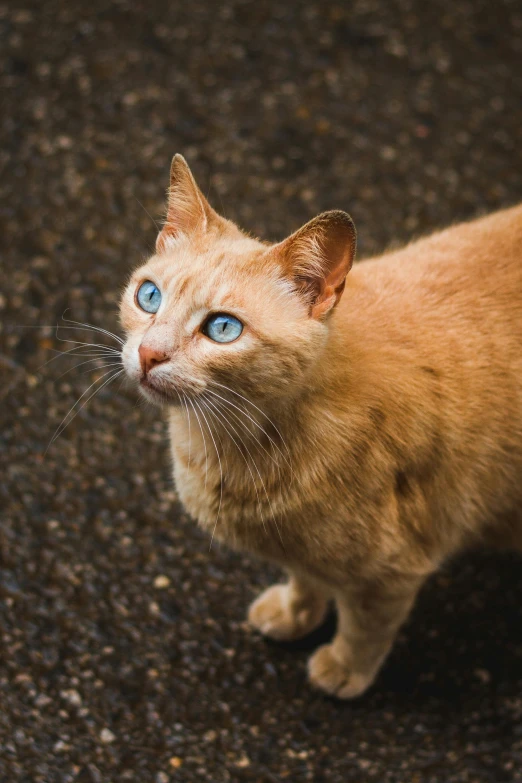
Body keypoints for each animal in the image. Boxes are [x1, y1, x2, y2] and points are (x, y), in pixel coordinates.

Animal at [120, 153, 520, 700]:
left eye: (223, 328)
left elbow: (365, 628)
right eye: (149, 296)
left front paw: (344, 669)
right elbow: (305, 577)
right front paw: (295, 613)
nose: (148, 353)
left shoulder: (393, 573)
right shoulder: (297, 549)